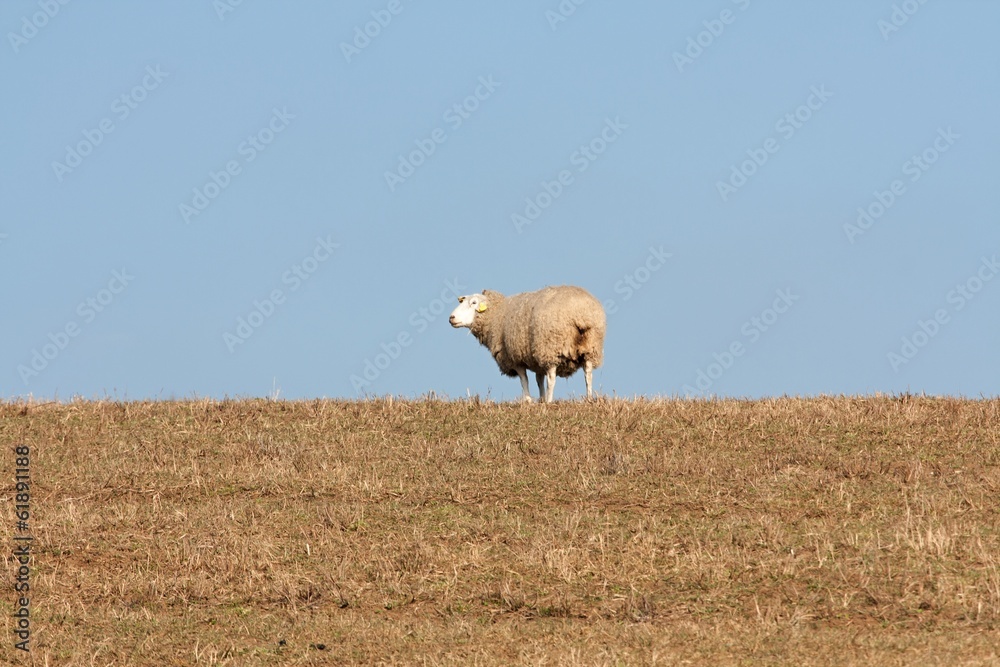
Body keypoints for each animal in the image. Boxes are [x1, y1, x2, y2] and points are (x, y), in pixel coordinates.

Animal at [448, 285, 606, 403]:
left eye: (474, 303)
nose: (451, 317)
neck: (496, 314)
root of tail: (581, 312)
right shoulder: (536, 361)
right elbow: (538, 380)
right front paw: (540, 399)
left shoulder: (514, 358)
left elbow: (524, 380)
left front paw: (529, 400)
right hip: (591, 347)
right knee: (588, 373)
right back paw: (589, 398)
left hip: (550, 347)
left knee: (552, 377)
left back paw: (549, 401)